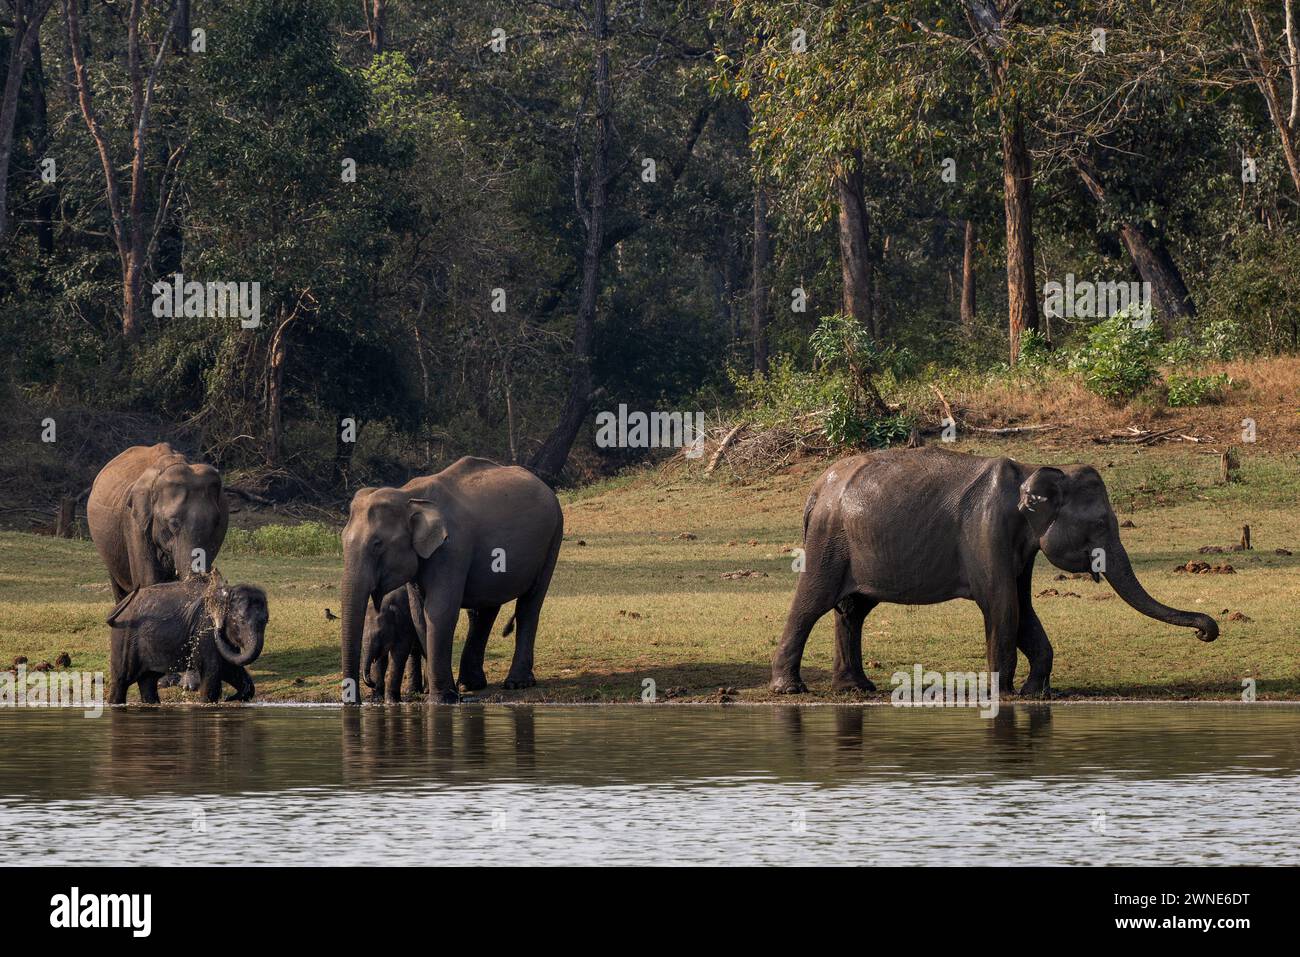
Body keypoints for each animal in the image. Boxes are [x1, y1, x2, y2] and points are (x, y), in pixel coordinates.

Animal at [107, 574, 269, 702]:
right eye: (240, 620)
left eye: (266, 621)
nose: (229, 698)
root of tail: (119, 607)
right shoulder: (205, 630)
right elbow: (212, 674)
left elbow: (230, 668)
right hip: (123, 639)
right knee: (121, 681)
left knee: (148, 681)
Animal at [338, 455, 561, 702]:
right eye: (342, 539)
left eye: (377, 544)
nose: (356, 700)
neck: (408, 495)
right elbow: (419, 615)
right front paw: (449, 694)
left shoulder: (452, 548)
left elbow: (439, 610)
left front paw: (441, 699)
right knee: (484, 610)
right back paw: (469, 684)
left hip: (553, 538)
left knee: (529, 605)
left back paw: (516, 683)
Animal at [764, 444, 1211, 696]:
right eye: (1101, 524)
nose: (1207, 632)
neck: (1035, 468)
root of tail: (816, 489)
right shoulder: (986, 530)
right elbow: (1002, 606)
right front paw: (1004, 693)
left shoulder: (1020, 547)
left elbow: (1024, 609)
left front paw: (1036, 693)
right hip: (828, 539)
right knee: (812, 602)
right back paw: (790, 689)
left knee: (853, 610)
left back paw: (856, 689)